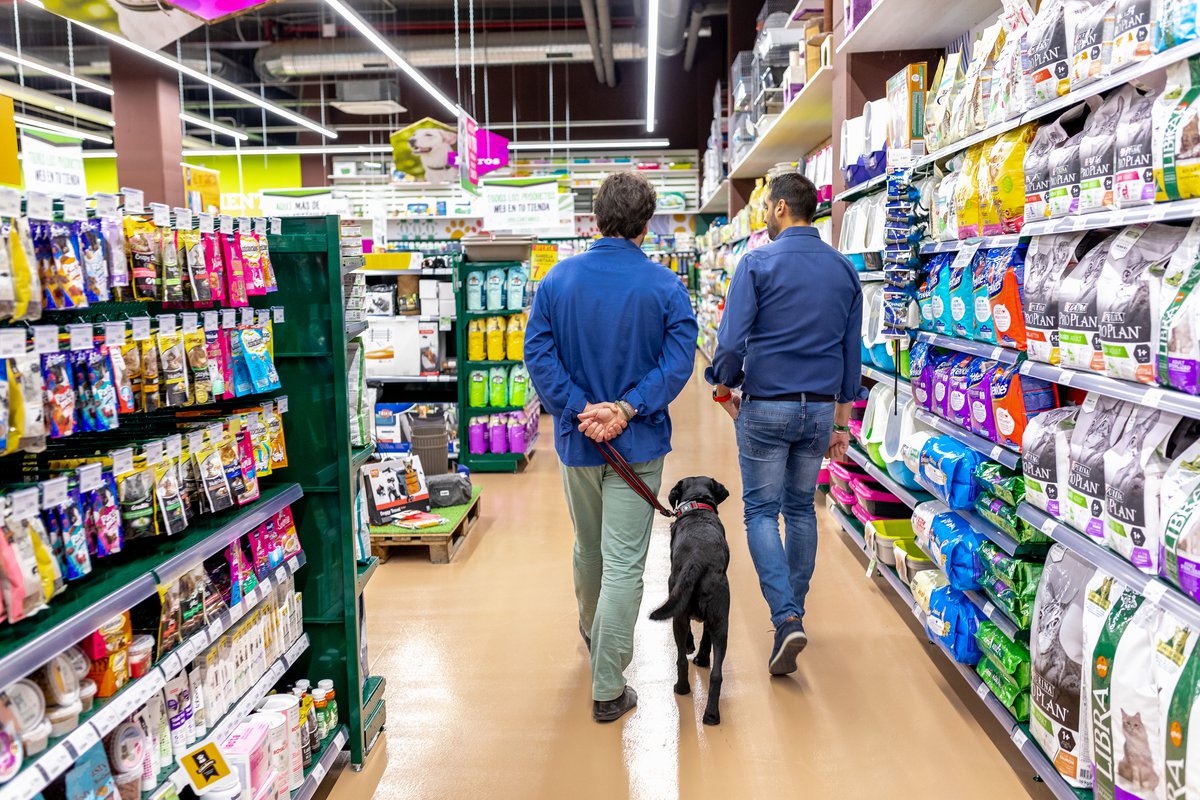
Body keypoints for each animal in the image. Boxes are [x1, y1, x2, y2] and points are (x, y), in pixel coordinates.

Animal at [648, 479, 729, 729]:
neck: (696, 507)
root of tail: (697, 560)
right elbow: (704, 638)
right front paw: (701, 657)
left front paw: (694, 650)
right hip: (721, 620)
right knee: (716, 674)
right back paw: (711, 715)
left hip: (682, 615)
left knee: (682, 660)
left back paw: (682, 688)